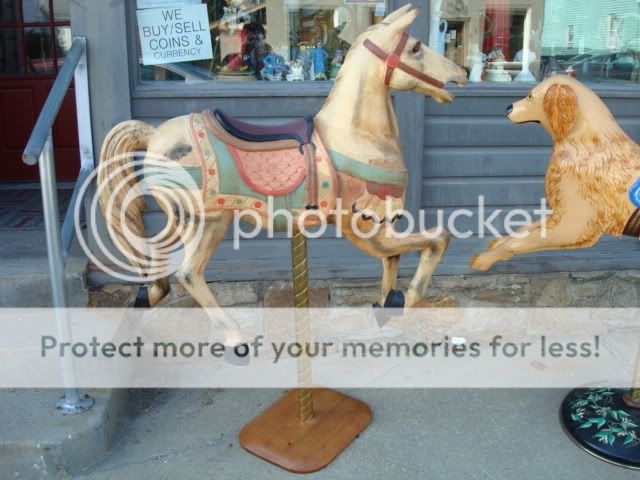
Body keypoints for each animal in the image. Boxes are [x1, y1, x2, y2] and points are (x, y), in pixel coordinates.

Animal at [470, 74, 640, 270]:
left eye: (530, 95)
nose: (508, 108)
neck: (585, 144)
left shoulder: (578, 226)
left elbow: (520, 242)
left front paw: (484, 259)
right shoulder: (561, 214)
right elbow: (524, 229)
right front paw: (497, 244)